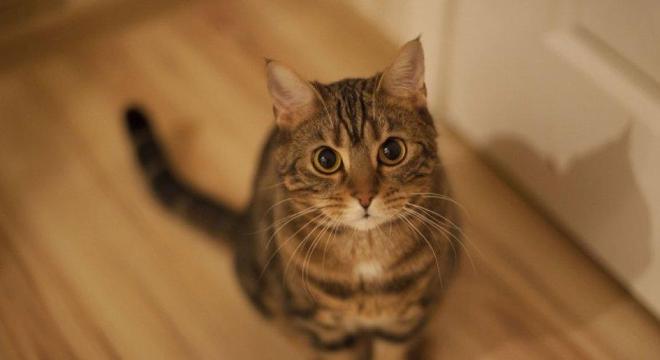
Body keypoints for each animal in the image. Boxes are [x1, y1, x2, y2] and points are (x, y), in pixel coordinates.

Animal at [126, 38, 462, 358]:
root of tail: (243, 221)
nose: (365, 197)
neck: (366, 256)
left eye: (392, 151)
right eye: (326, 159)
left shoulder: (402, 323)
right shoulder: (326, 331)